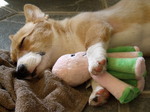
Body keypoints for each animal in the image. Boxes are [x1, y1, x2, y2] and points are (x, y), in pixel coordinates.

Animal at [9, 0, 150, 106]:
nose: (19, 72)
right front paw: (98, 90)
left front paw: (95, 62)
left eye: (22, 41)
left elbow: (91, 48)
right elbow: (95, 77)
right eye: (14, 61)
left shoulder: (97, 27)